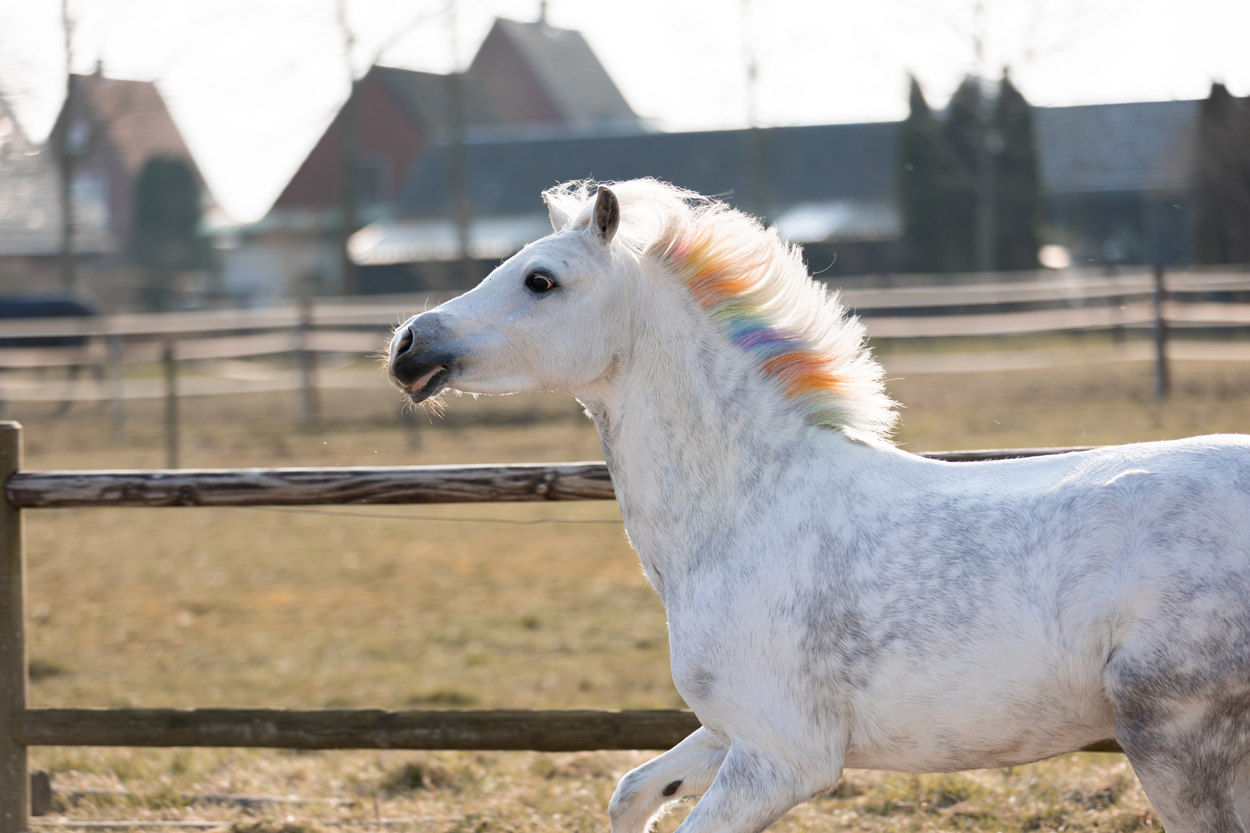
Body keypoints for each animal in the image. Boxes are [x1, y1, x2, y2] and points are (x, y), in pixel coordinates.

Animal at [385, 178, 1250, 825]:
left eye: (541, 279)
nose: (407, 346)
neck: (750, 513)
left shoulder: (784, 757)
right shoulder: (731, 728)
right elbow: (630, 790)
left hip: (1170, 737)